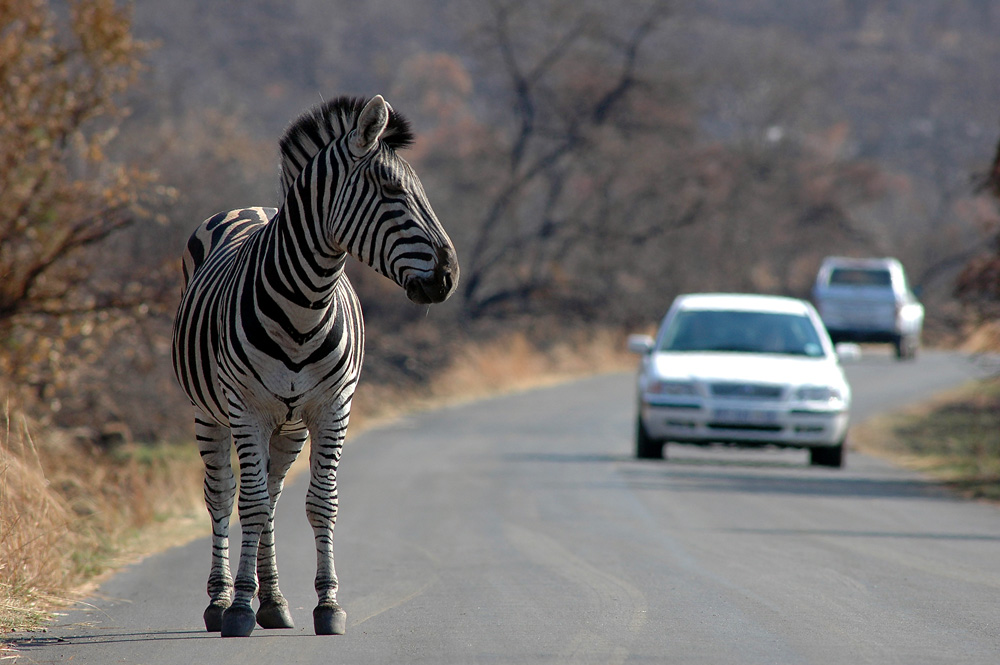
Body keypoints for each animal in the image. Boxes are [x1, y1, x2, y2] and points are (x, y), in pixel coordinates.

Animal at [170, 94, 458, 640]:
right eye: (392, 190)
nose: (449, 275)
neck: (305, 306)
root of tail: (251, 207)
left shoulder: (331, 408)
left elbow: (320, 503)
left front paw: (327, 604)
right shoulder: (246, 410)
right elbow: (248, 504)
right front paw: (238, 609)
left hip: (289, 426)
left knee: (273, 495)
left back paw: (273, 601)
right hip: (208, 414)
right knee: (223, 496)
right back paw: (221, 599)